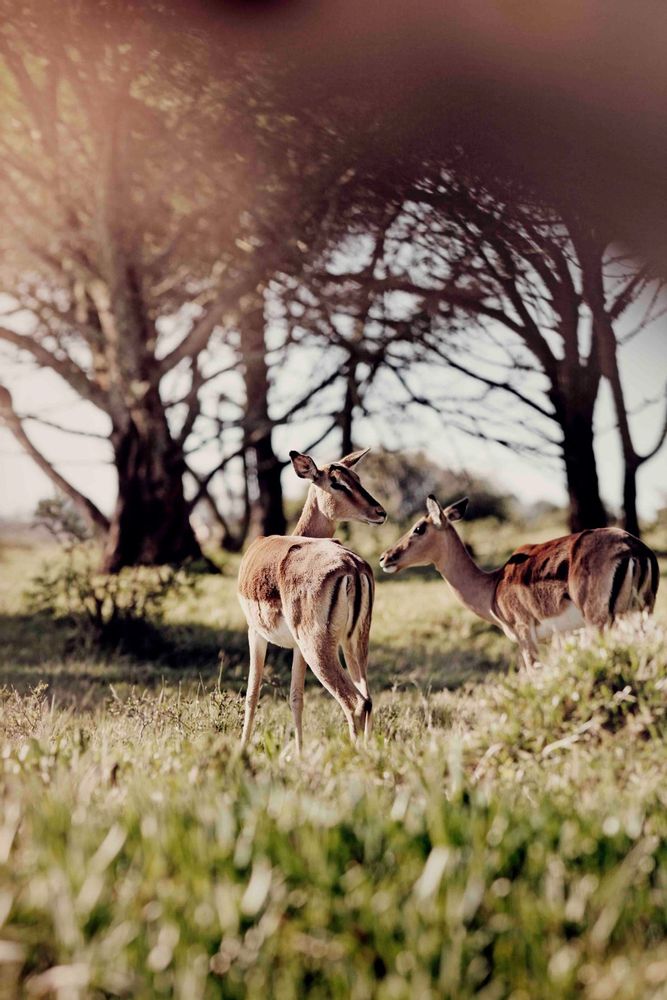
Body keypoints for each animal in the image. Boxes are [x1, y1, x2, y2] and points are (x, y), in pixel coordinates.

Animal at [237, 448, 387, 753]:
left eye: (356, 479)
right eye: (337, 482)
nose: (380, 512)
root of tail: (352, 566)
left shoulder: (255, 633)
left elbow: (252, 694)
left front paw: (242, 749)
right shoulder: (295, 648)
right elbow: (296, 697)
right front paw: (299, 752)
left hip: (317, 646)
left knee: (356, 703)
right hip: (354, 643)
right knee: (368, 699)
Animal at [379, 495, 659, 669]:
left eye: (419, 528)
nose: (385, 557)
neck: (492, 586)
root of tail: (633, 548)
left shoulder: (526, 635)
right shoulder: (562, 635)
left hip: (600, 622)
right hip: (640, 615)